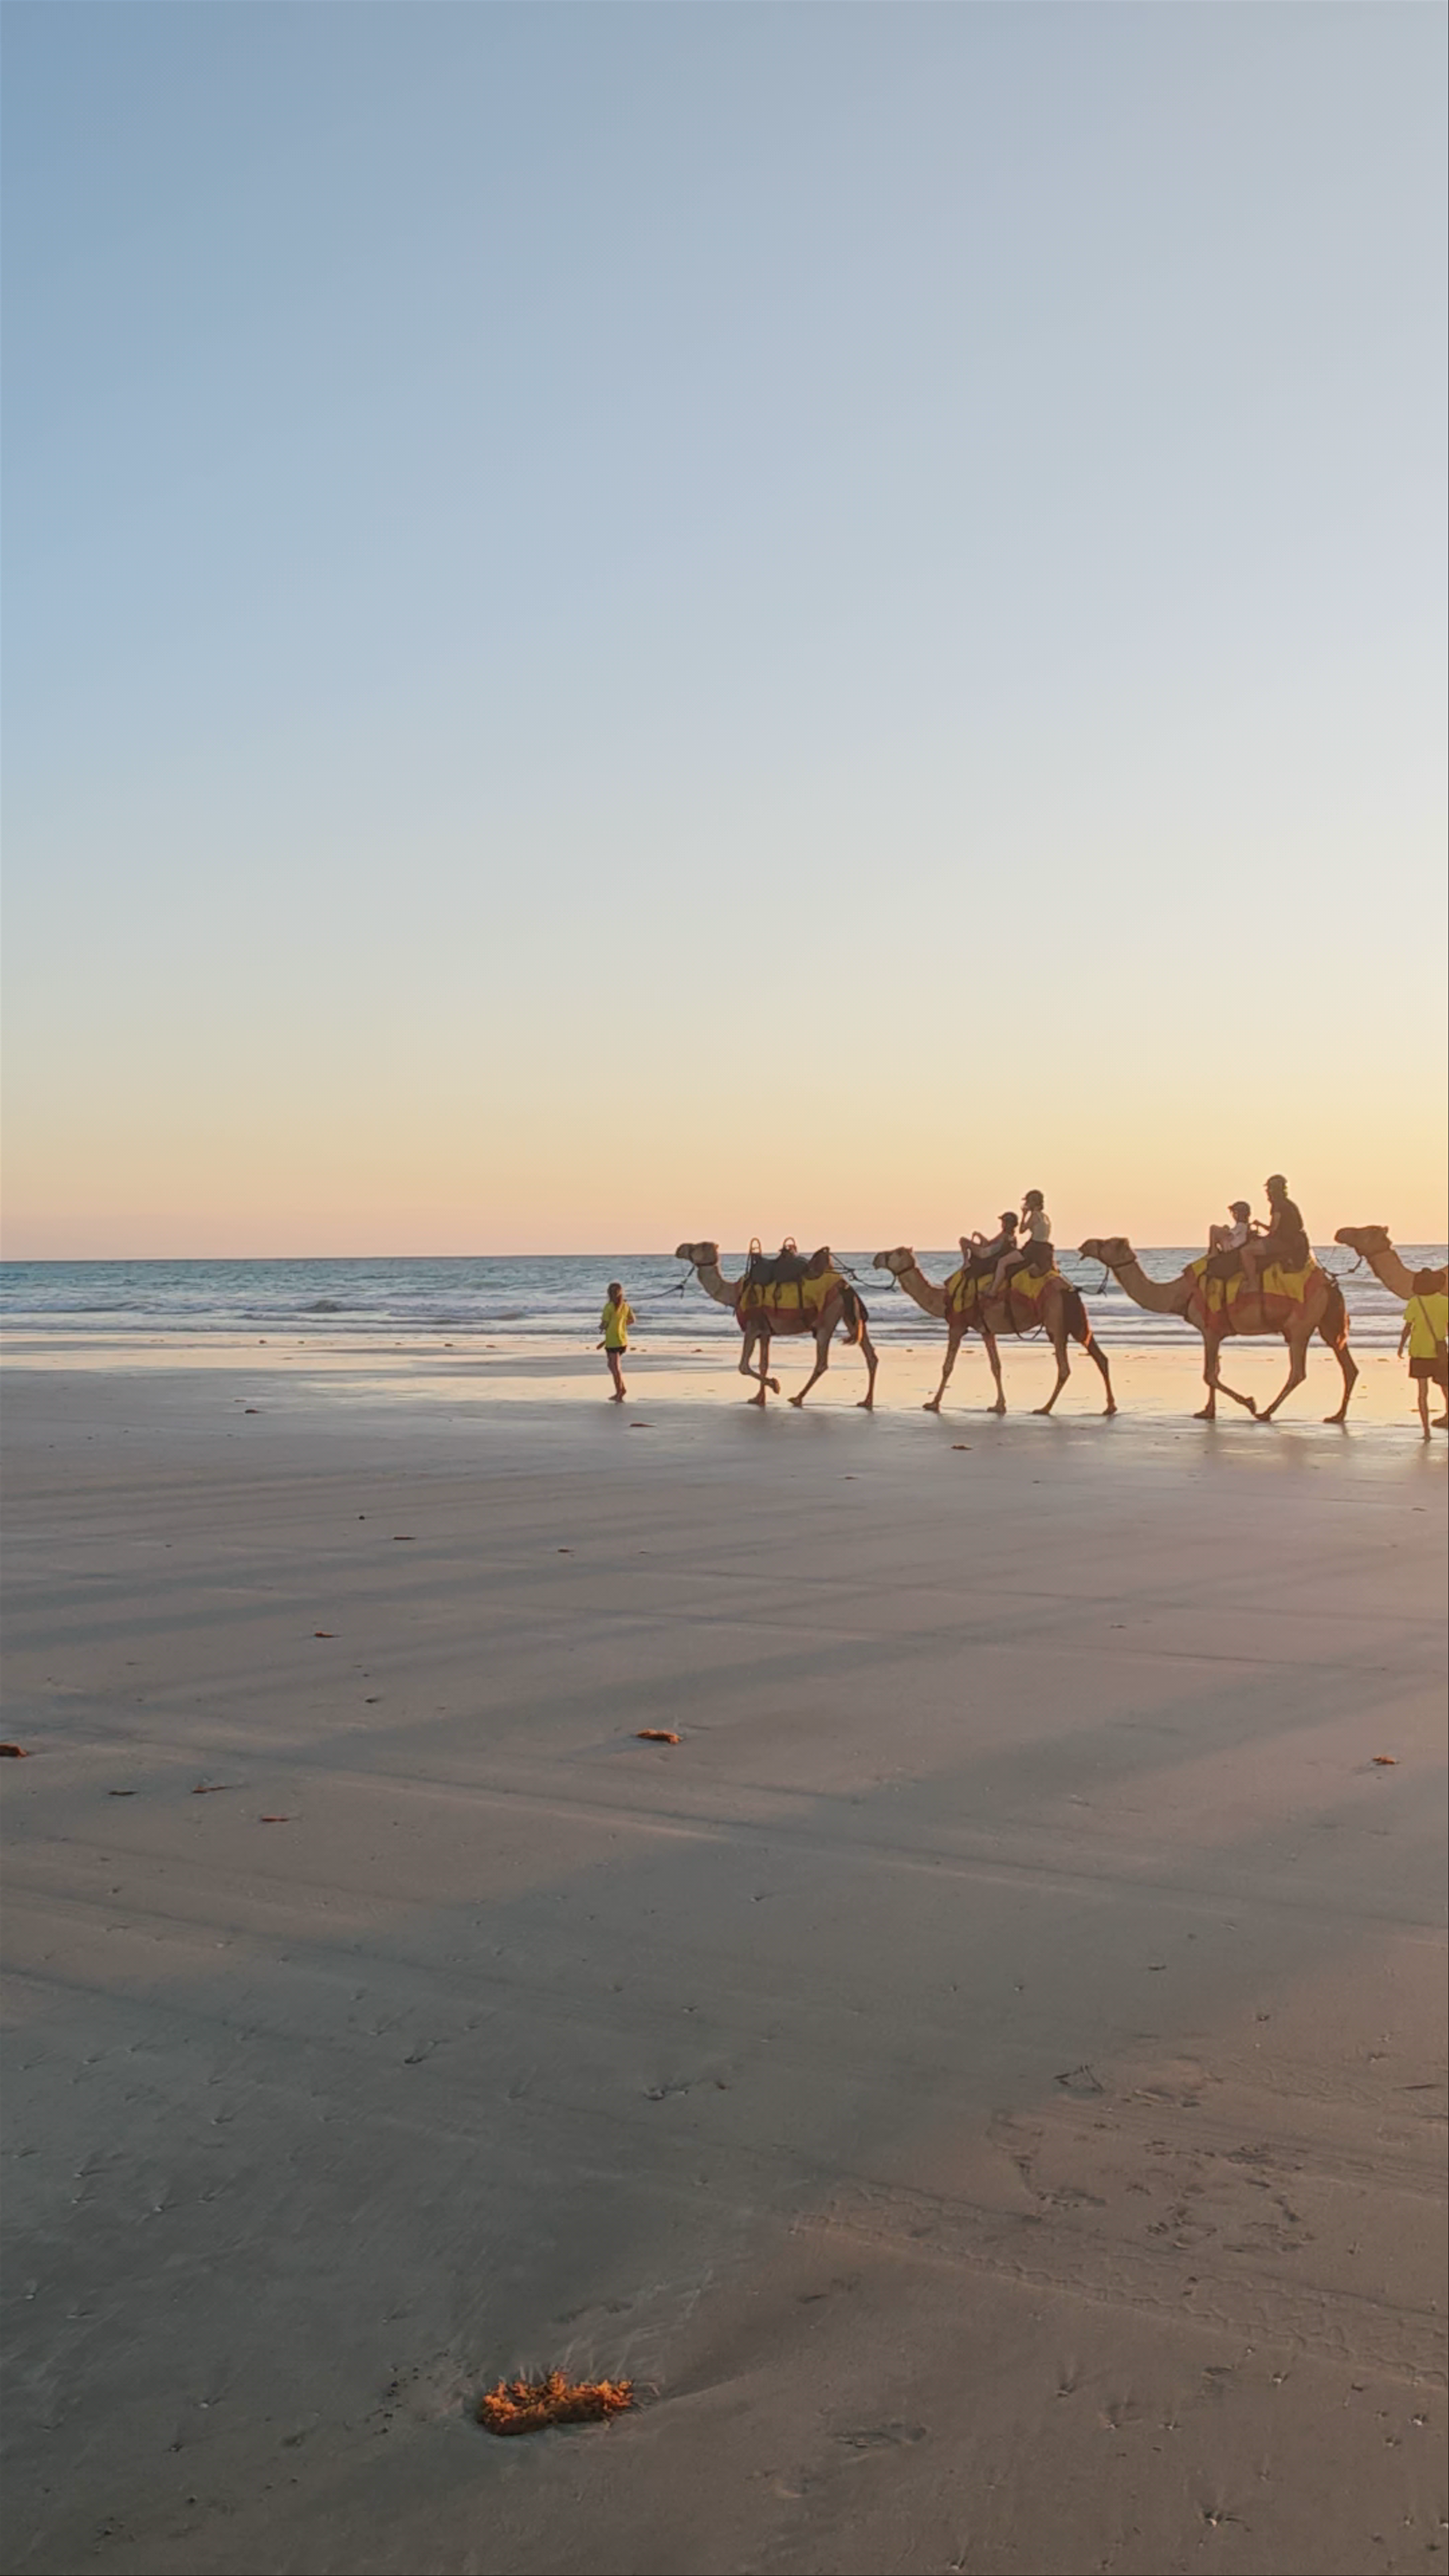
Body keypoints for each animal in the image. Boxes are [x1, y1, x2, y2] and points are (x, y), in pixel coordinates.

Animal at [675, 1242, 879, 1409]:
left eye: (699, 1246)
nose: (680, 1249)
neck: (736, 1294)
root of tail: (846, 1285)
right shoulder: (765, 1331)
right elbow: (763, 1363)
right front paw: (759, 1398)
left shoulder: (753, 1327)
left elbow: (744, 1366)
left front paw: (775, 1385)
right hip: (850, 1316)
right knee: (870, 1355)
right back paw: (867, 1401)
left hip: (827, 1320)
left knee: (822, 1363)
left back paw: (797, 1398)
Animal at [873, 1248, 1116, 1416]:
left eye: (895, 1253)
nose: (876, 1258)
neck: (943, 1298)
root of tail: (1069, 1288)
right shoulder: (986, 1330)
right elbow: (996, 1366)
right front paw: (999, 1405)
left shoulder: (957, 1325)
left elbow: (947, 1367)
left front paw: (933, 1403)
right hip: (1076, 1321)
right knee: (1100, 1357)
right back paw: (1110, 1407)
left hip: (1056, 1319)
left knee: (1064, 1368)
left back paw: (1045, 1408)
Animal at [1078, 1238, 1357, 1423]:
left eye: (1107, 1243)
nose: (1085, 1244)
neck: (1180, 1293)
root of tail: (1330, 1282)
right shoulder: (1212, 1332)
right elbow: (1214, 1371)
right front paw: (1207, 1412)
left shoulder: (1211, 1329)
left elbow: (1209, 1374)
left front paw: (1250, 1403)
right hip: (1327, 1323)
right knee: (1347, 1365)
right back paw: (1337, 1416)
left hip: (1300, 1325)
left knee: (1298, 1372)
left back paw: (1266, 1412)